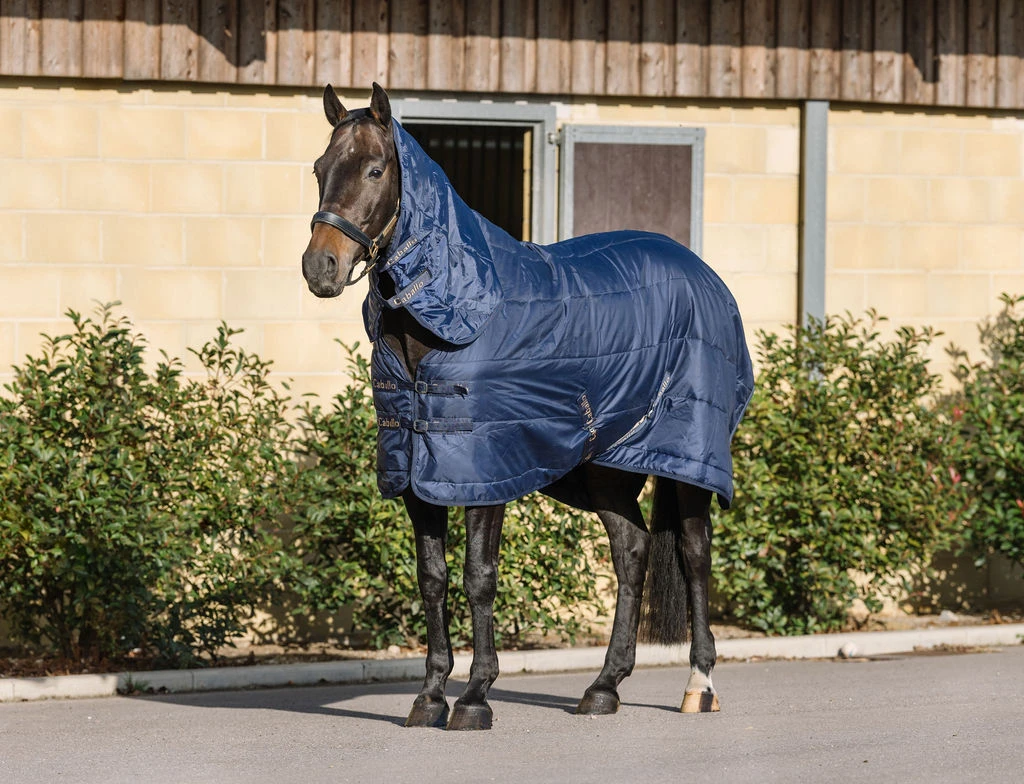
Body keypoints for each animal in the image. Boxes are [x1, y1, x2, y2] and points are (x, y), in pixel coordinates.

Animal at [301, 83, 754, 731]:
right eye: (319, 169)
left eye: (375, 169)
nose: (321, 267)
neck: (456, 312)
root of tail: (704, 275)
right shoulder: (418, 474)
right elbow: (432, 579)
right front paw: (429, 697)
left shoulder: (482, 474)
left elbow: (478, 577)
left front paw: (474, 697)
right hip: (605, 469)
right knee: (632, 551)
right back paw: (603, 687)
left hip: (686, 457)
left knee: (694, 554)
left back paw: (699, 685)